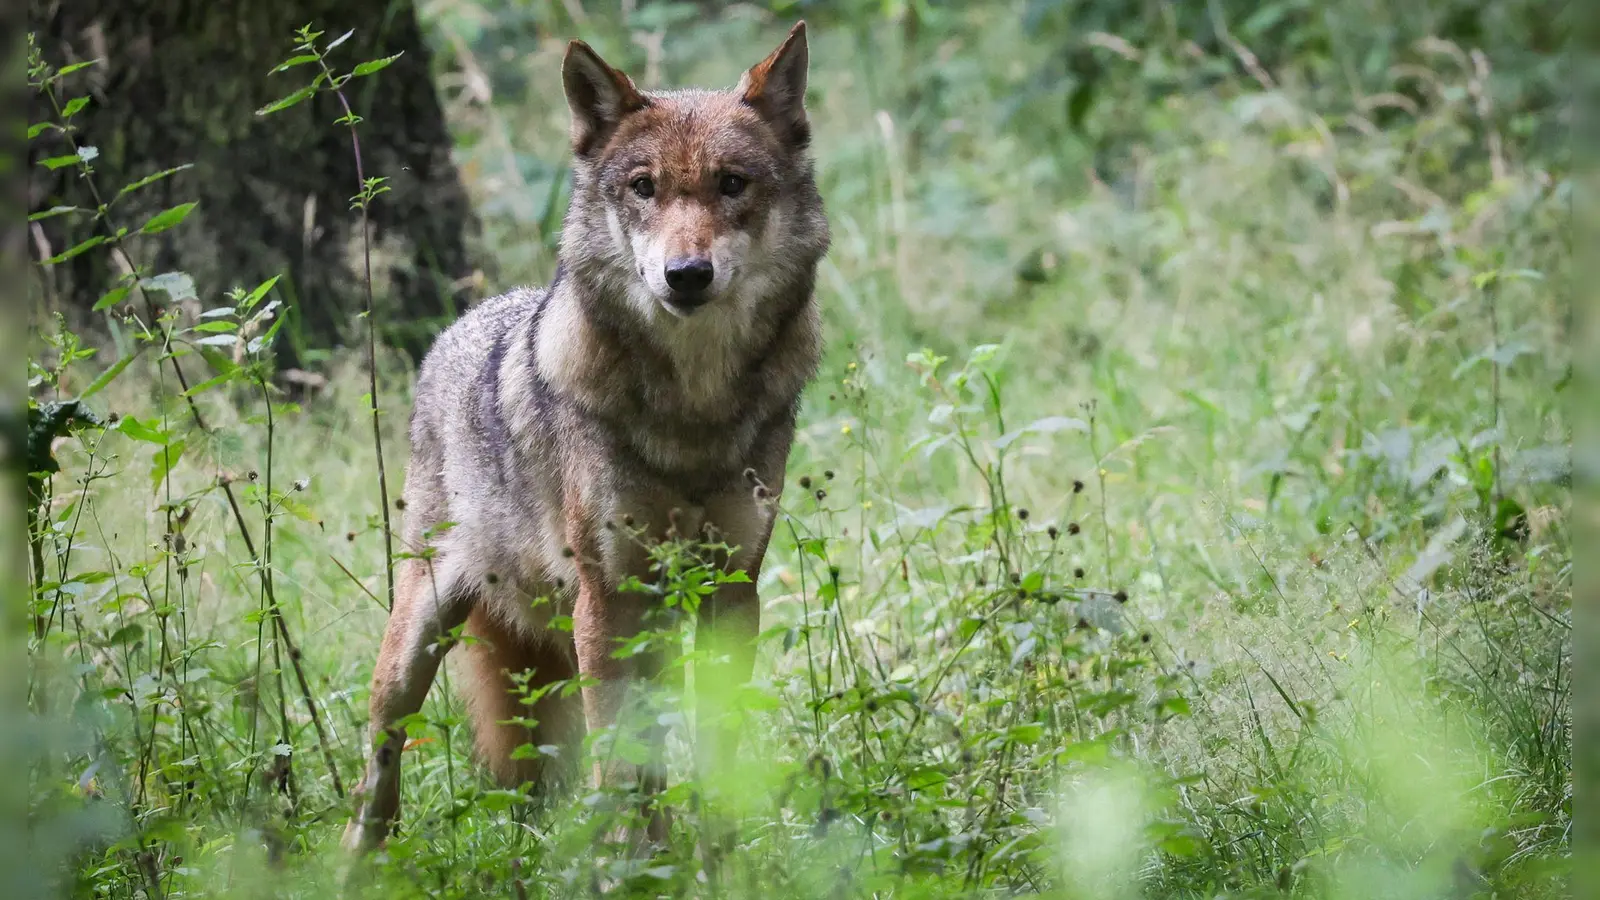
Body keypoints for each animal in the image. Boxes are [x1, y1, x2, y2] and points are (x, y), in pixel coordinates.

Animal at [345, 21, 832, 845]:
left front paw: (719, 854)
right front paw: (627, 857)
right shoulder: (607, 600)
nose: (686, 274)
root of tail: (458, 328)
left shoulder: (732, 591)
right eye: (643, 187)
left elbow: (713, 751)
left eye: (732, 184)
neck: (693, 411)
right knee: (378, 763)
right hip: (419, 635)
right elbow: (620, 762)